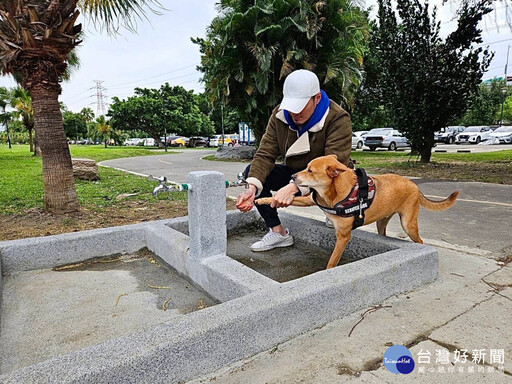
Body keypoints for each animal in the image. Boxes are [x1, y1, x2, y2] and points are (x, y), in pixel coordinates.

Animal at [256, 154, 460, 268]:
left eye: (310, 170)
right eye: (306, 167)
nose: (292, 176)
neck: (334, 192)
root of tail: (415, 186)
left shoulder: (343, 236)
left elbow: (332, 261)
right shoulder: (309, 199)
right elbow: (286, 198)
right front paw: (264, 199)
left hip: (408, 223)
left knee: (420, 240)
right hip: (381, 222)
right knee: (383, 232)